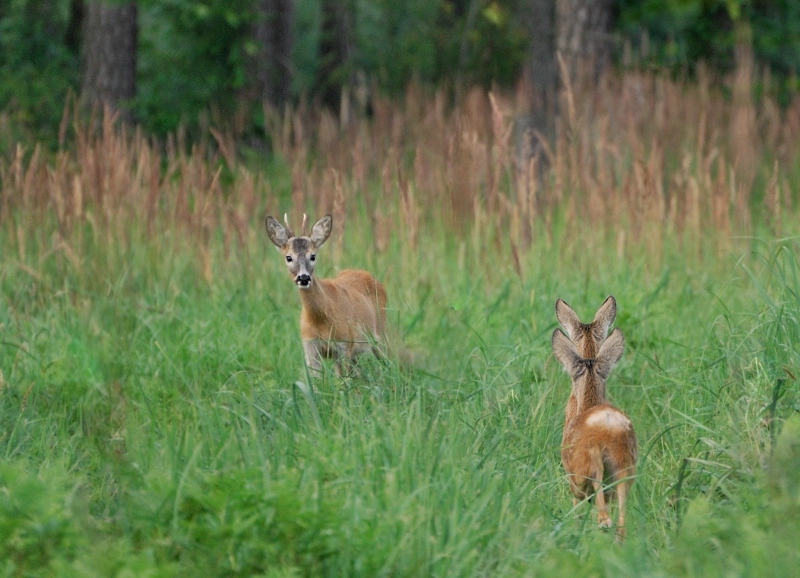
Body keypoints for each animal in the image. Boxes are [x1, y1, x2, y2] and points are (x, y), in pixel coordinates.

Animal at [266, 213, 388, 374]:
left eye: (313, 256)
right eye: (288, 257)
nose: (303, 278)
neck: (320, 321)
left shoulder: (344, 344)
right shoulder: (310, 346)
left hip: (380, 334)